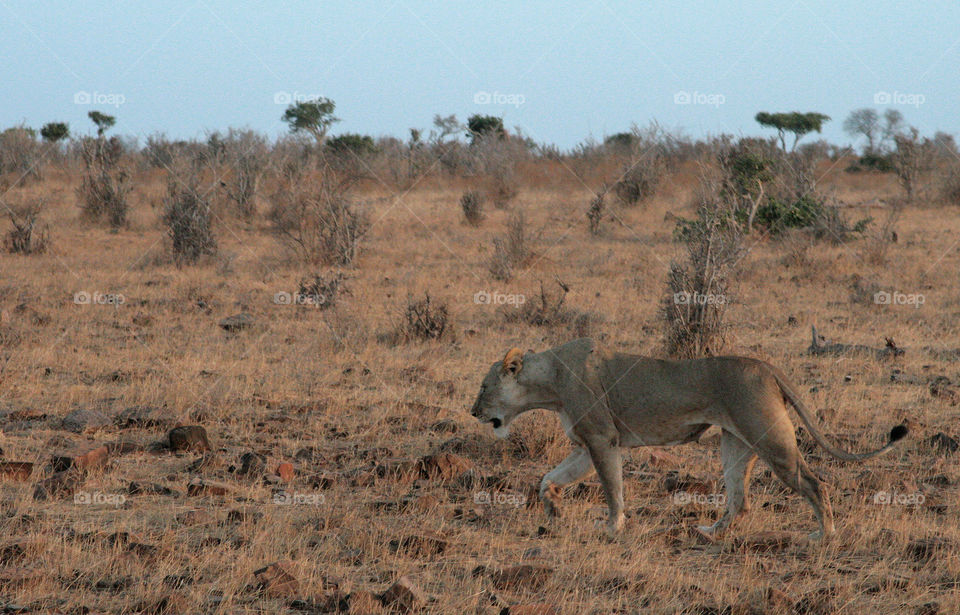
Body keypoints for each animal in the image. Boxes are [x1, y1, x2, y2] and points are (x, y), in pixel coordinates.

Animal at [468, 338, 908, 539]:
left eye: (484, 387)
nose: (473, 412)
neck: (550, 385)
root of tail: (766, 366)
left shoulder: (602, 438)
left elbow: (612, 488)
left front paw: (613, 527)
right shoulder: (584, 444)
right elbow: (549, 479)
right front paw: (554, 511)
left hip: (771, 440)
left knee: (816, 483)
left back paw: (824, 534)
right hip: (735, 444)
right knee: (740, 501)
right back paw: (711, 532)